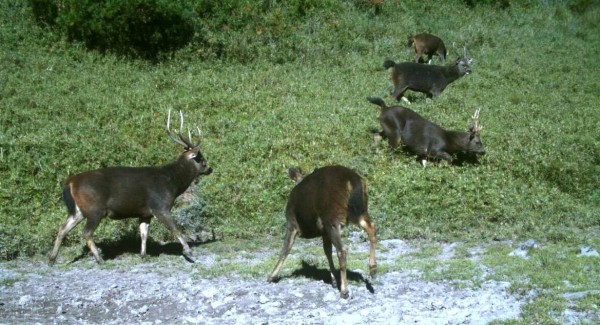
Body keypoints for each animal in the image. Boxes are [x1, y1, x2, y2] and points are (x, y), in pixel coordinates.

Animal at [49, 110, 213, 264]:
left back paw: (52, 259)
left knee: (62, 228)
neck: (173, 184)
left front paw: (143, 254)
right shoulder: (160, 206)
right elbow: (176, 228)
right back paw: (99, 258)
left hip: (79, 210)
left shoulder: (145, 213)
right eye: (201, 159)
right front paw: (189, 252)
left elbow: (144, 233)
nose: (210, 169)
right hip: (95, 208)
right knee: (86, 232)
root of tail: (69, 182)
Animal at [266, 166, 376, 298]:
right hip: (359, 210)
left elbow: (285, 249)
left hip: (332, 217)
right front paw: (334, 279)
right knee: (371, 228)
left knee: (342, 249)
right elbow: (327, 252)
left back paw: (344, 290)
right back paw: (373, 269)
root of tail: (352, 180)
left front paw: (272, 276)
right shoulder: (324, 232)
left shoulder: (292, 224)